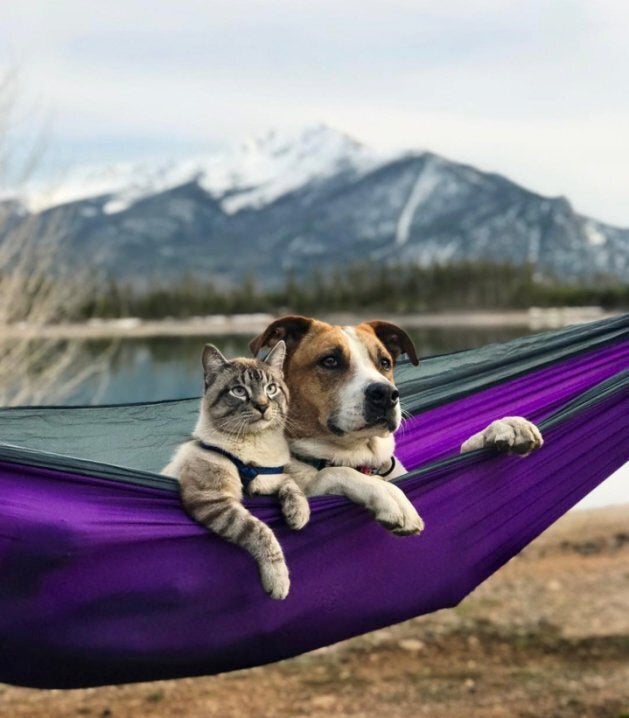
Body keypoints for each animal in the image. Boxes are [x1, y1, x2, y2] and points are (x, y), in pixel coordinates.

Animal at [162, 340, 310, 600]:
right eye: (239, 391)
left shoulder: (266, 478)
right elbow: (261, 532)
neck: (254, 445)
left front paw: (298, 515)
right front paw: (279, 582)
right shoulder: (214, 500)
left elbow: (290, 482)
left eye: (271, 388)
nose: (263, 406)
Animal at [248, 318, 544, 536]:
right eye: (330, 360)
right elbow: (335, 473)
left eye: (385, 362)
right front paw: (388, 495)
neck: (362, 457)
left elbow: (465, 445)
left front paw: (504, 427)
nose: (386, 394)